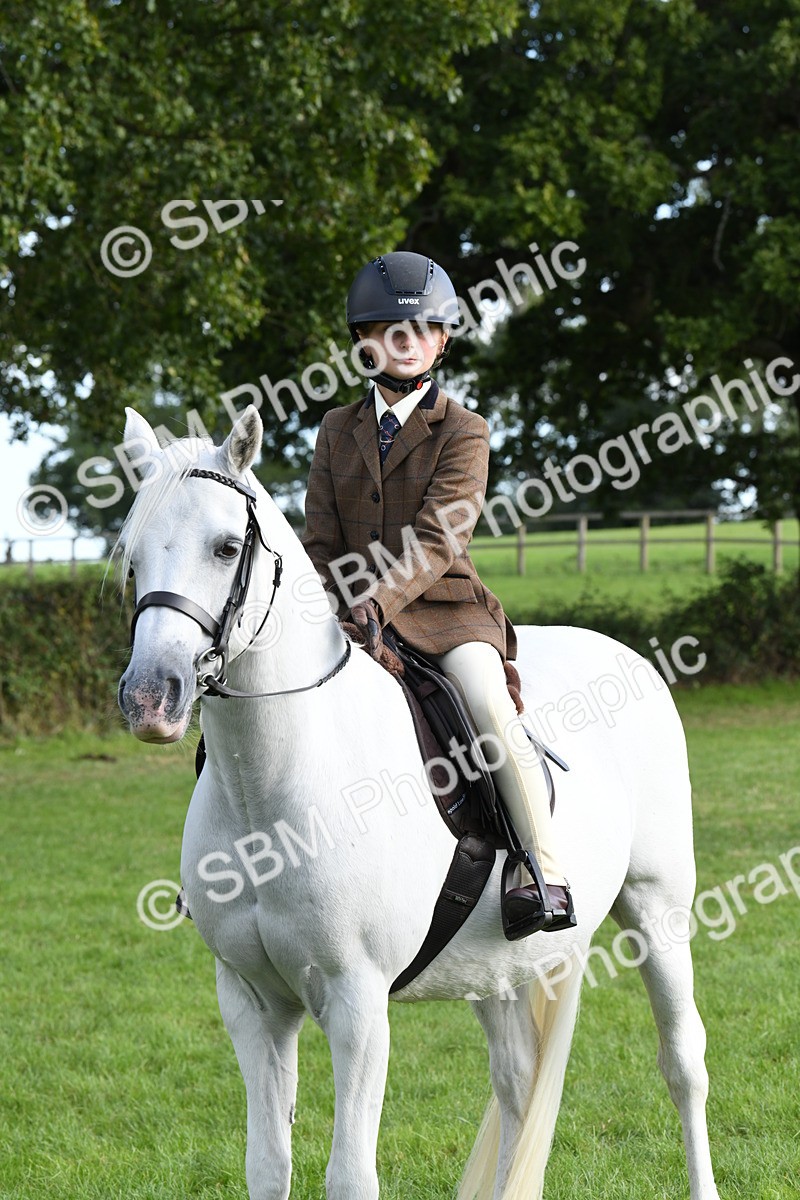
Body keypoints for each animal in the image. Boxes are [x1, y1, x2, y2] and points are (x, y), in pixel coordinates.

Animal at [116, 404, 722, 1200]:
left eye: (225, 547)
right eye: (131, 558)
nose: (149, 699)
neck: (269, 789)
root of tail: (623, 654)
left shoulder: (357, 1003)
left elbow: (350, 1176)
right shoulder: (252, 1002)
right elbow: (268, 1167)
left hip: (657, 907)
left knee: (683, 1063)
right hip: (498, 965)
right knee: (517, 1085)